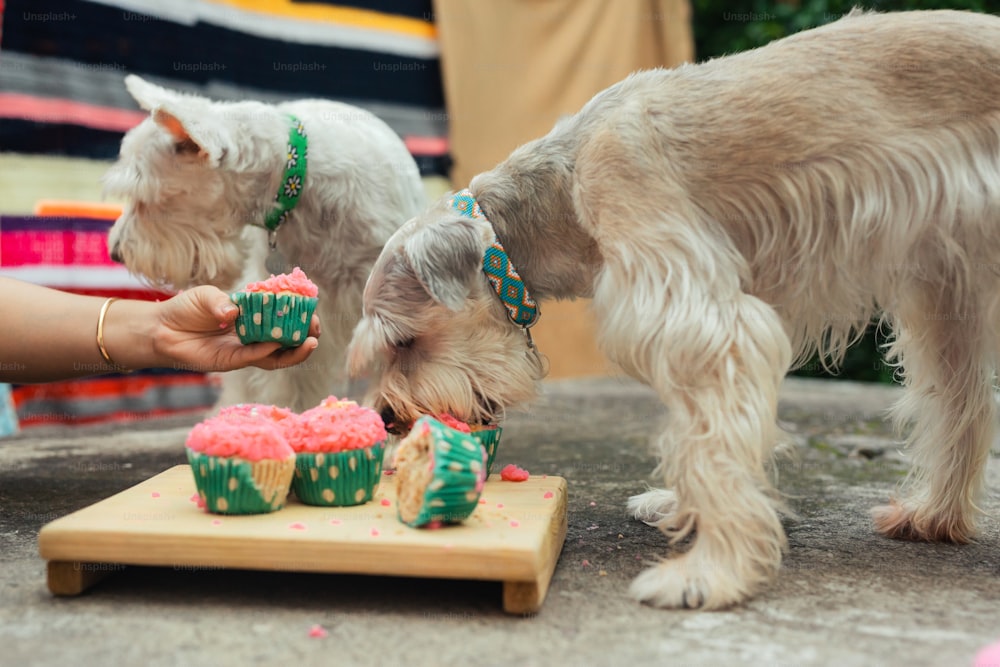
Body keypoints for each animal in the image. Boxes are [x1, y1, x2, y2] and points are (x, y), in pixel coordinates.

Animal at [348, 10, 1000, 612]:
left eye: (402, 342)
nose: (387, 417)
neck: (561, 186)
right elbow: (703, 432)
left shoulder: (704, 323)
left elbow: (709, 444)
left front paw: (711, 573)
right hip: (948, 296)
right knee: (961, 403)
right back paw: (933, 515)